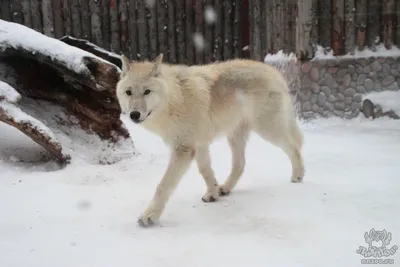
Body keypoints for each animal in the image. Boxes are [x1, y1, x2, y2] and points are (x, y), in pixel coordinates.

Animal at [117, 54, 304, 228]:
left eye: (147, 91)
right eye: (129, 92)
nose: (134, 115)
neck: (175, 100)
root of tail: (274, 71)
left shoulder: (184, 149)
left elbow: (163, 185)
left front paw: (149, 216)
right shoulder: (199, 145)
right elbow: (205, 170)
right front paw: (213, 193)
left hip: (268, 130)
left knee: (293, 146)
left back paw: (298, 175)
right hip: (235, 136)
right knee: (240, 164)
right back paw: (225, 188)